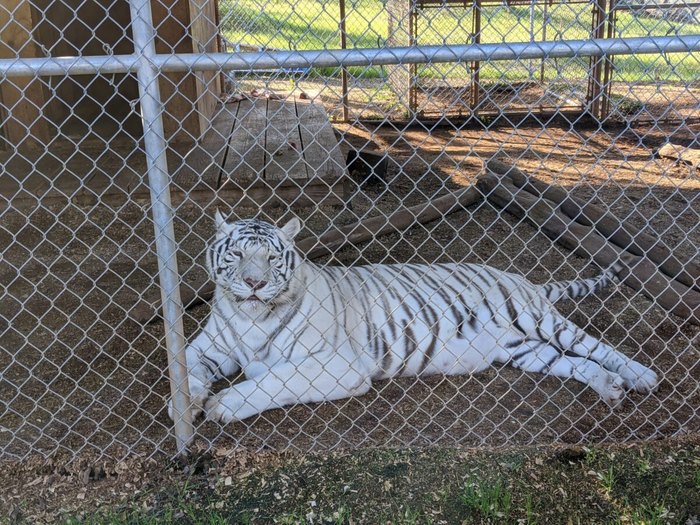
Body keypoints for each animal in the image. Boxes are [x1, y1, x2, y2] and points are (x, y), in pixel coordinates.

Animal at [168, 215, 656, 424]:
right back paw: (609, 387)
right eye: (236, 254)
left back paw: (640, 375)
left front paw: (223, 404)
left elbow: (276, 379)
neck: (250, 317)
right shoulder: (210, 345)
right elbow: (186, 366)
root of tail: (523, 278)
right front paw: (185, 403)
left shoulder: (338, 364)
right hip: (524, 350)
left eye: (270, 258)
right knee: (576, 363)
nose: (254, 283)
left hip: (539, 321)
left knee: (596, 346)